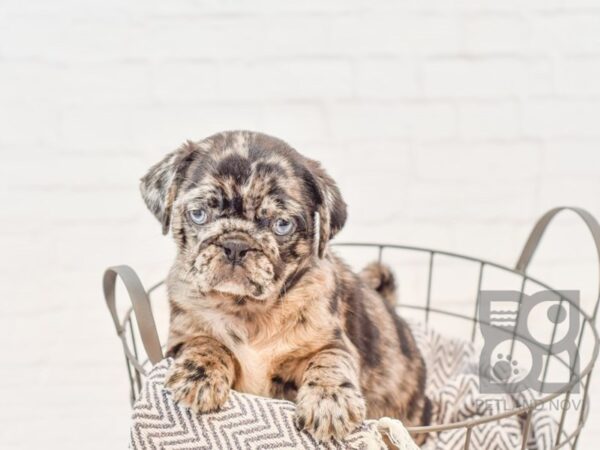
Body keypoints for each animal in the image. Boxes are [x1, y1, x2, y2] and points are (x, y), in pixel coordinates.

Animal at [139, 131, 432, 442]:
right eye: (198, 214)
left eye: (281, 224)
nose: (236, 244)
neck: (247, 309)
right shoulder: (179, 340)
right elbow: (206, 341)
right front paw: (199, 374)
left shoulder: (333, 342)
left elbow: (330, 360)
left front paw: (330, 400)